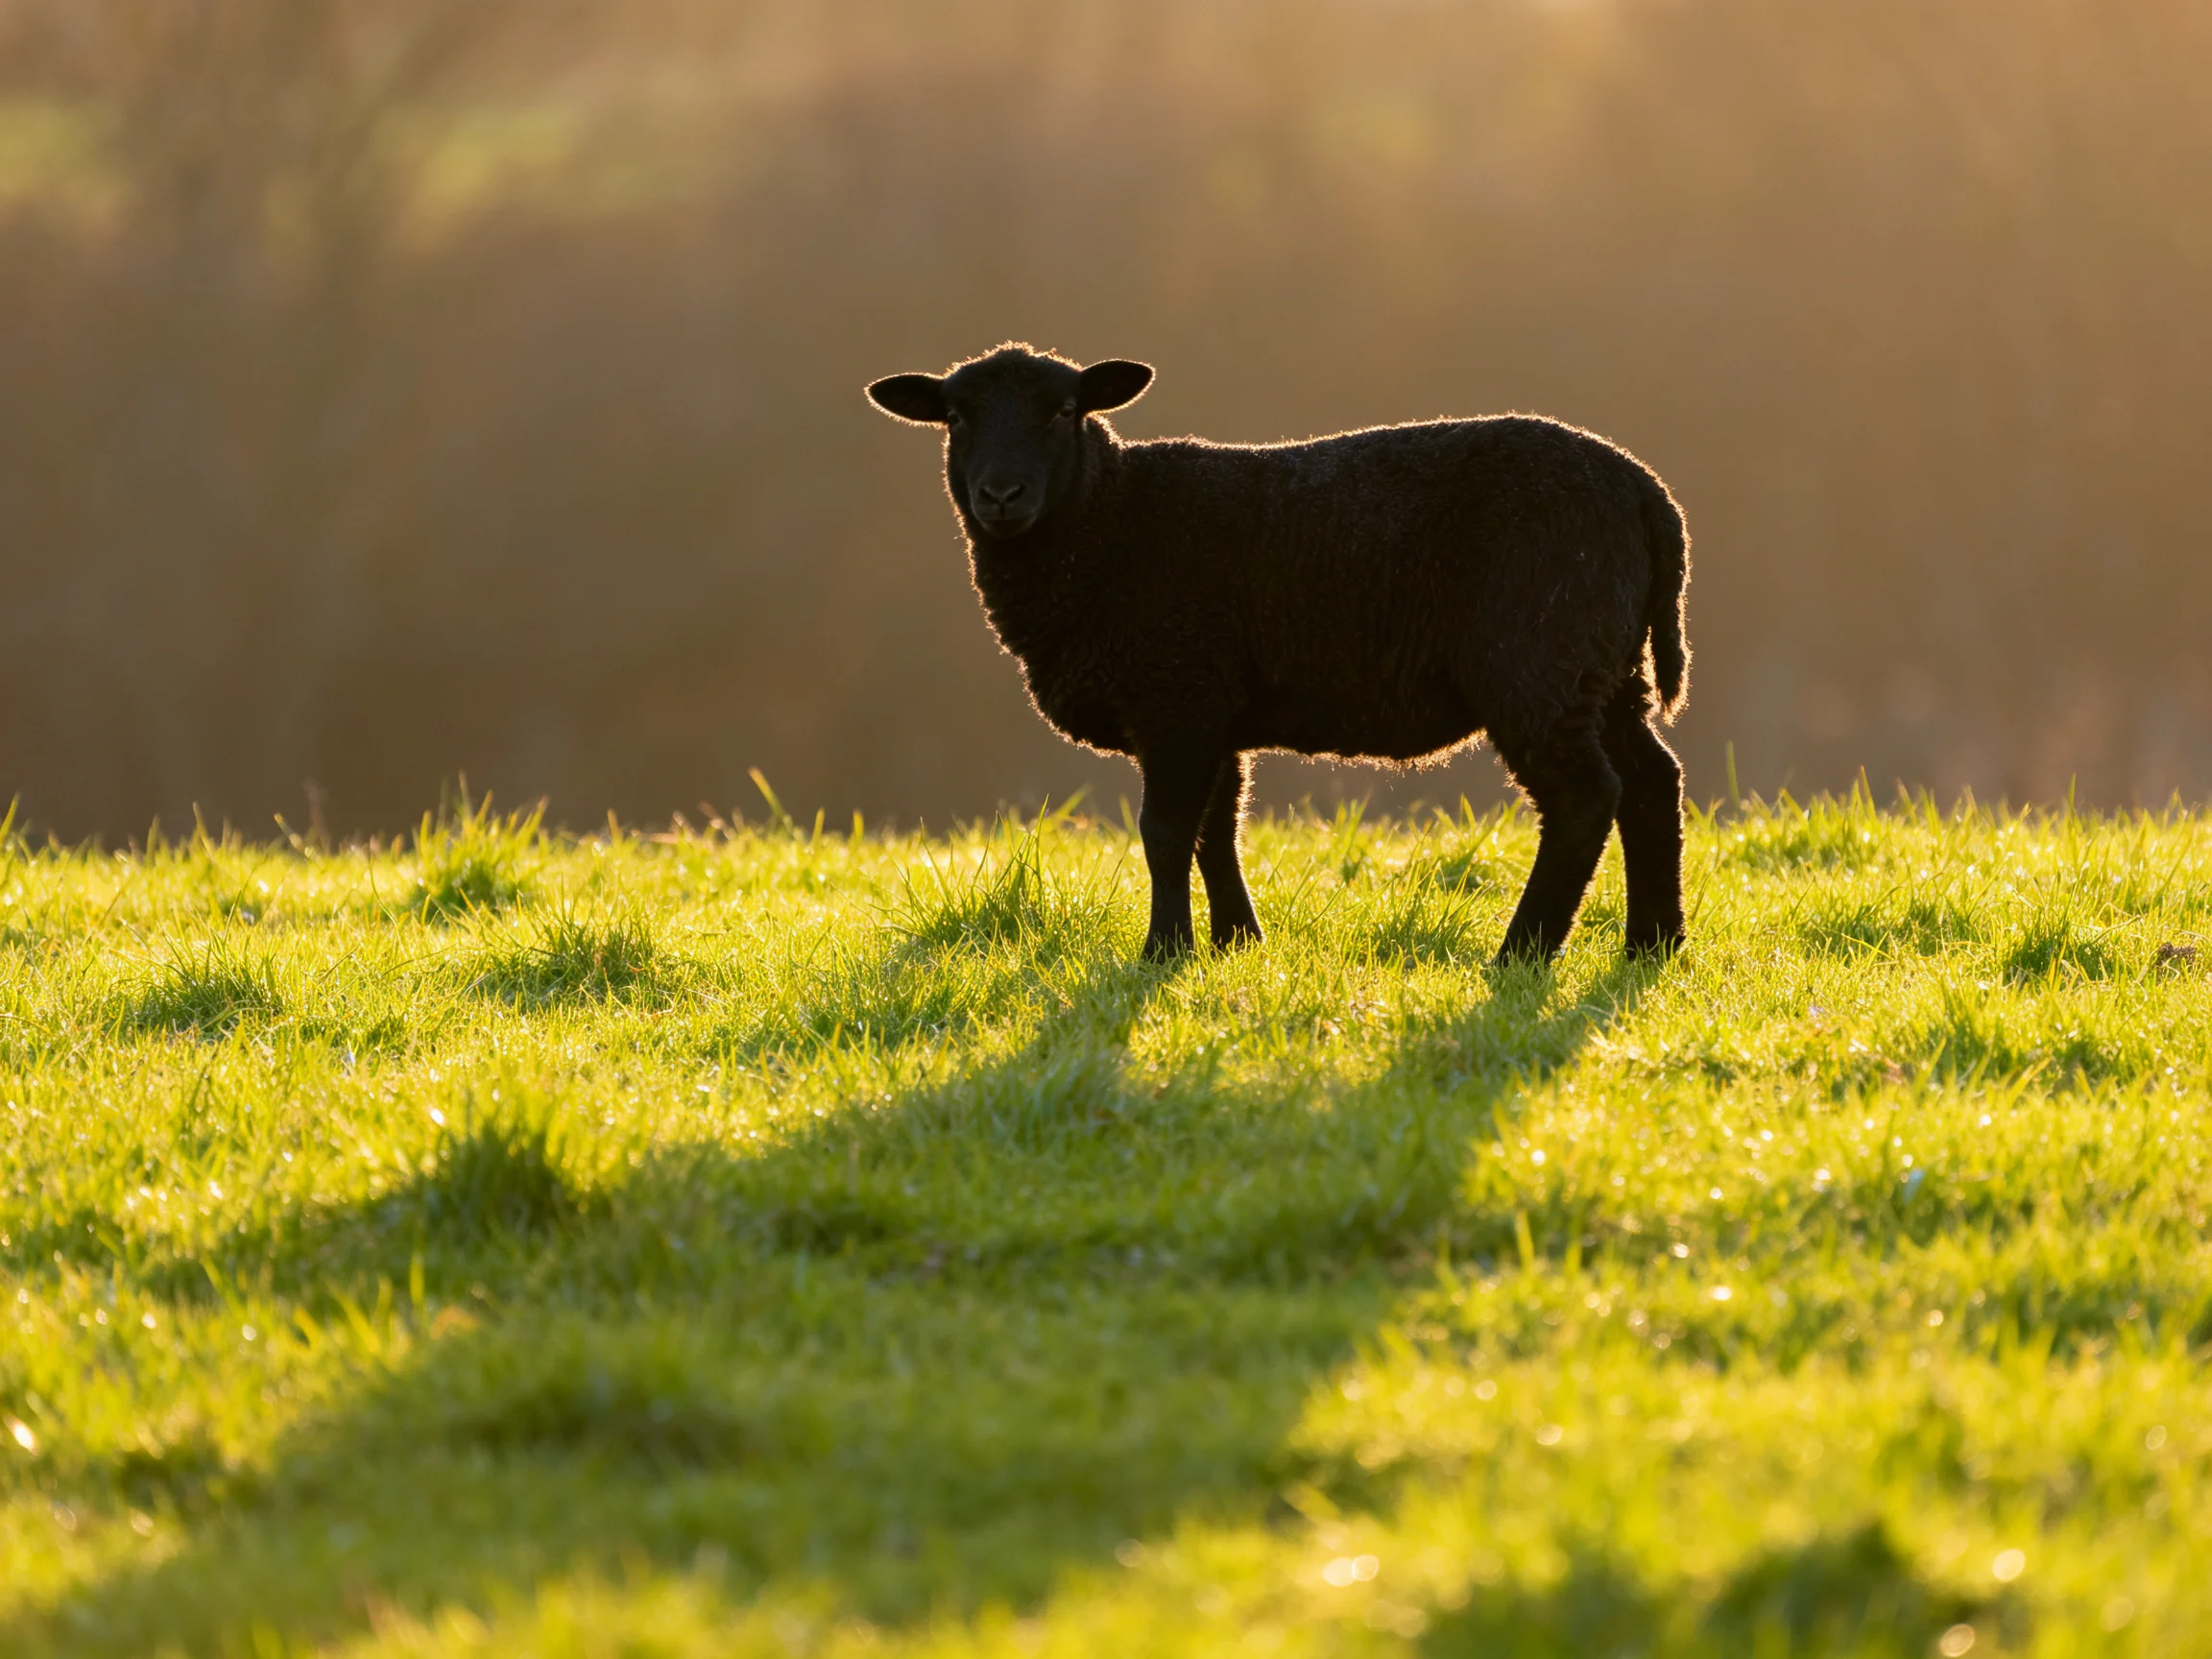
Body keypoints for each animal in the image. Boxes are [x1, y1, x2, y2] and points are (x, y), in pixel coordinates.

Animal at [866, 343, 1691, 965]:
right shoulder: (1211, 707)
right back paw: (1653, 946)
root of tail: (1646, 493)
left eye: (1066, 411)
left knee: (1586, 797)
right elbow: (1215, 830)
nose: (1000, 495)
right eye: (956, 416)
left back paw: (1522, 953)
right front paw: (1238, 942)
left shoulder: (1177, 697)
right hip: (1606, 668)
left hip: (1537, 659)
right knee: (1652, 782)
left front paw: (1165, 953)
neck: (1110, 519)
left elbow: (1165, 831)